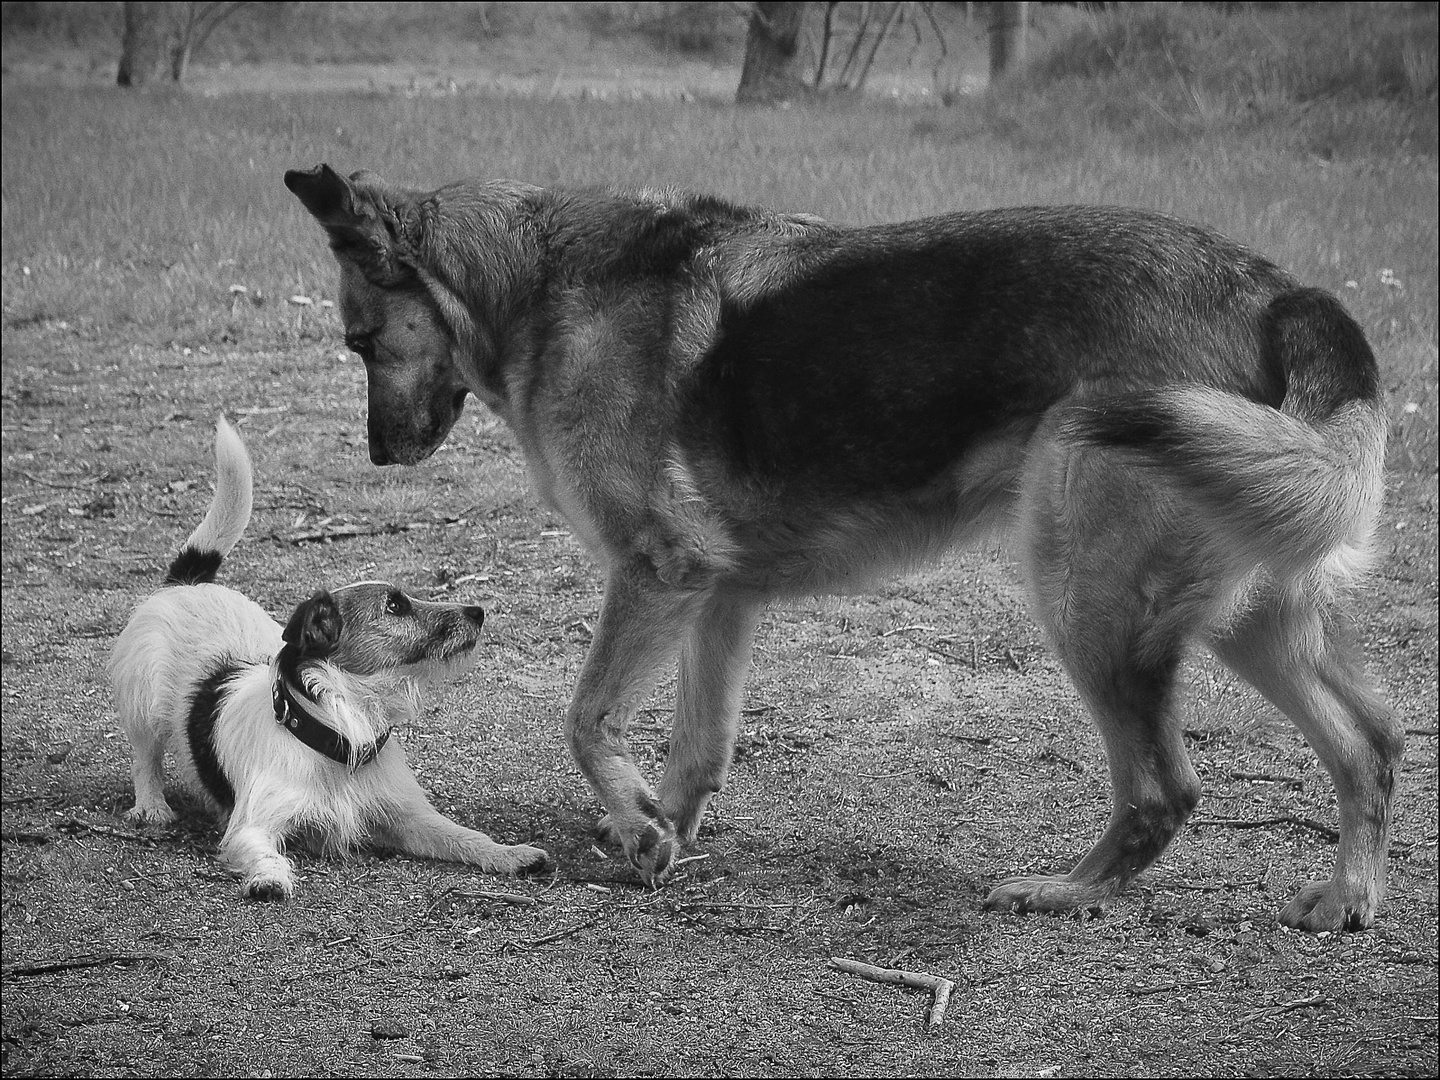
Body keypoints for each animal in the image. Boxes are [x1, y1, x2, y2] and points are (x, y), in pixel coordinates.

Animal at [109, 417, 547, 898]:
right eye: (395, 606)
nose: (478, 612)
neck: (340, 732)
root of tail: (189, 581)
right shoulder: (251, 826)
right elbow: (263, 850)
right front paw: (270, 878)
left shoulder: (409, 817)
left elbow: (464, 836)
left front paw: (510, 854)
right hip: (144, 703)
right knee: (145, 756)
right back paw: (151, 806)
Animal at [286, 164, 1399, 933]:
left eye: (358, 342)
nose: (380, 454)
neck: (536, 287)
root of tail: (1279, 293)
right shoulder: (716, 598)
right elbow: (697, 746)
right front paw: (661, 833)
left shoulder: (657, 572)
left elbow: (583, 719)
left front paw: (639, 825)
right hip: (1246, 613)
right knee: (1372, 740)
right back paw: (1345, 893)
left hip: (1086, 598)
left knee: (1167, 789)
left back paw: (1063, 890)